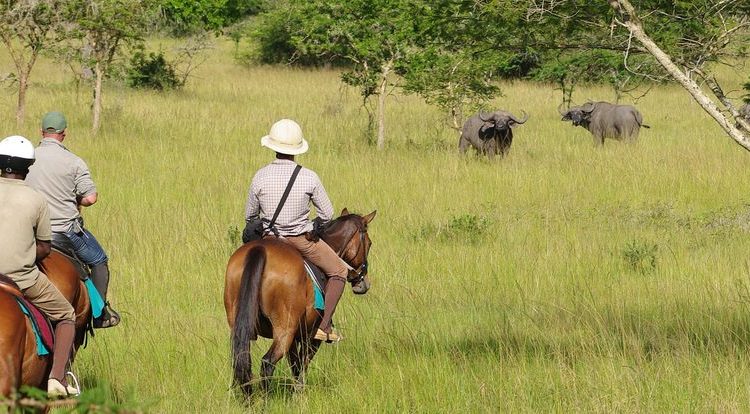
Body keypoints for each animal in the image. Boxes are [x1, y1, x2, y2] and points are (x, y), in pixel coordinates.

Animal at [223, 209, 376, 396]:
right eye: (369, 243)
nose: (363, 284)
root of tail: (260, 249)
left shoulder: (295, 336)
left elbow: (295, 364)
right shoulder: (309, 336)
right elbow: (302, 364)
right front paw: (300, 393)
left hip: (239, 324)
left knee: (242, 360)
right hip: (285, 329)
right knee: (267, 362)